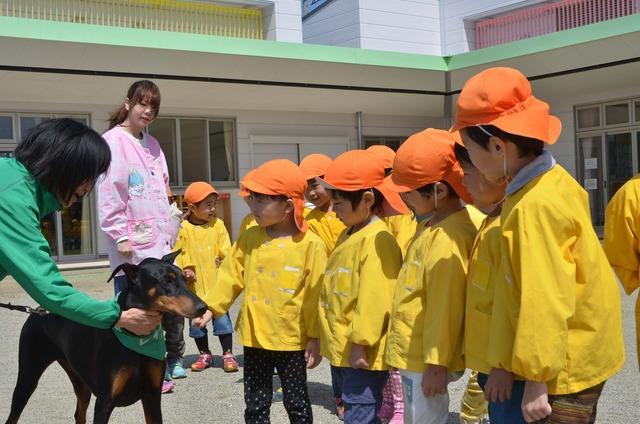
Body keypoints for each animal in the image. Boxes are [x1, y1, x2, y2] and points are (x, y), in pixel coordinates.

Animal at [3, 252, 208, 424]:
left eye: (185, 278)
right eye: (166, 280)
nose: (203, 307)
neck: (136, 337)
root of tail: (38, 310)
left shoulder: (152, 395)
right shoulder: (104, 402)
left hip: (79, 379)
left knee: (79, 412)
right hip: (28, 376)